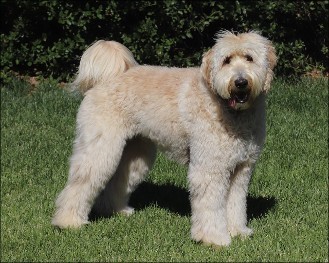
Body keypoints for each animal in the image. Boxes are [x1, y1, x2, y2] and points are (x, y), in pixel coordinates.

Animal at [52, 31, 276, 248]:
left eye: (249, 58)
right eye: (226, 60)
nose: (240, 82)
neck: (228, 110)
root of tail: (106, 79)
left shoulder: (241, 169)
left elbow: (236, 204)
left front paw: (238, 231)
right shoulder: (209, 169)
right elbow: (211, 206)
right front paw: (213, 239)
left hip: (135, 155)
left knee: (117, 181)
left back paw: (116, 210)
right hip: (100, 148)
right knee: (80, 183)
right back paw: (68, 221)